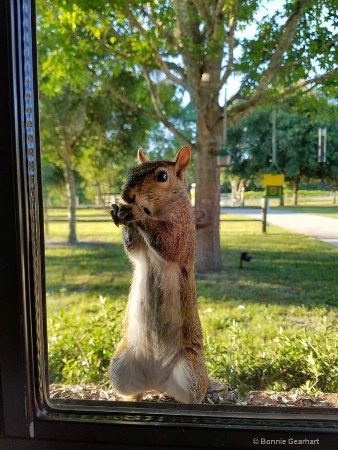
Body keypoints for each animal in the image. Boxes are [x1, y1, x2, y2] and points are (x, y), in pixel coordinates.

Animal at [109, 145, 209, 404]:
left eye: (162, 176)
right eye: (130, 171)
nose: (127, 195)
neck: (155, 210)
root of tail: (158, 381)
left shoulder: (183, 230)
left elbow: (167, 243)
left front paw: (136, 213)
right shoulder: (139, 249)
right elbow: (133, 250)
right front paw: (118, 211)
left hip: (190, 372)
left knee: (190, 395)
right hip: (121, 366)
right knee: (135, 389)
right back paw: (133, 399)